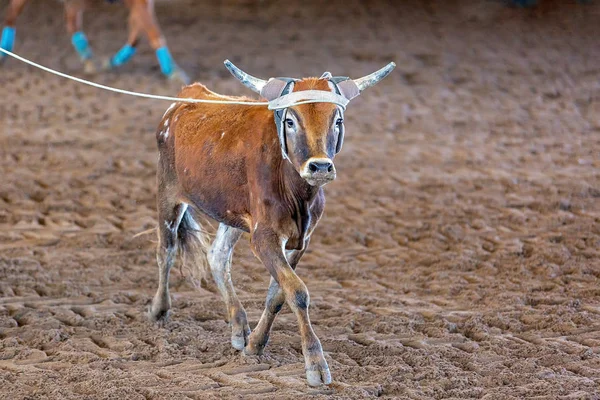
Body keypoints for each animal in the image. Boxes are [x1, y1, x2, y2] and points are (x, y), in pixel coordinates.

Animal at [148, 61, 396, 386]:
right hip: (167, 193)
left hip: (231, 213)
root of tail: (186, 96)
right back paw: (159, 310)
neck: (295, 190)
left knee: (217, 257)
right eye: (290, 120)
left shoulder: (301, 240)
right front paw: (316, 363)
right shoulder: (264, 237)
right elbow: (297, 291)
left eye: (338, 119)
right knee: (166, 251)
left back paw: (238, 326)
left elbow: (278, 294)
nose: (320, 167)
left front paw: (255, 343)